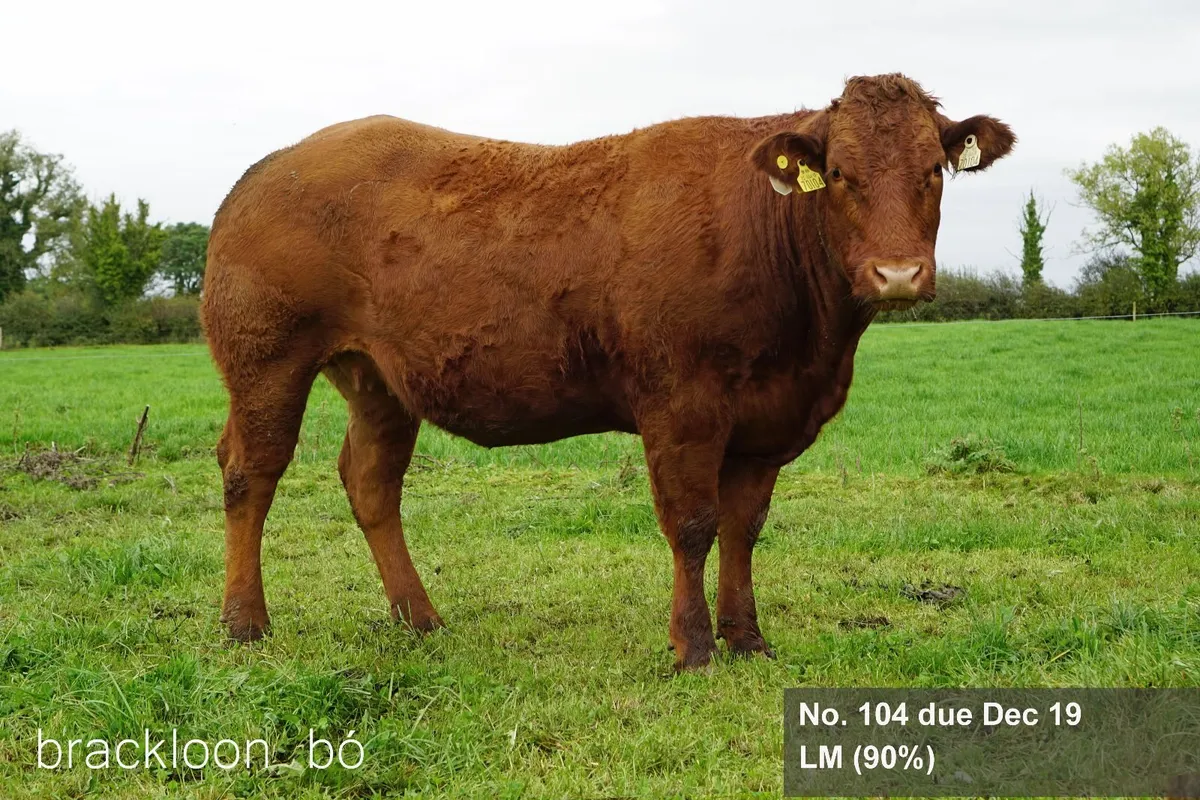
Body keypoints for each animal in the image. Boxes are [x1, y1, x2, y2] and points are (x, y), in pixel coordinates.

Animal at [201, 73, 1015, 670]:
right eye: (840, 174)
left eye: (934, 170)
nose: (897, 273)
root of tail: (269, 166)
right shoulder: (682, 405)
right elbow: (692, 524)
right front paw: (693, 647)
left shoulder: (766, 421)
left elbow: (744, 528)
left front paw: (748, 639)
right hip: (266, 360)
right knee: (251, 472)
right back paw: (245, 623)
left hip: (378, 378)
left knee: (371, 481)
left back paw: (421, 620)